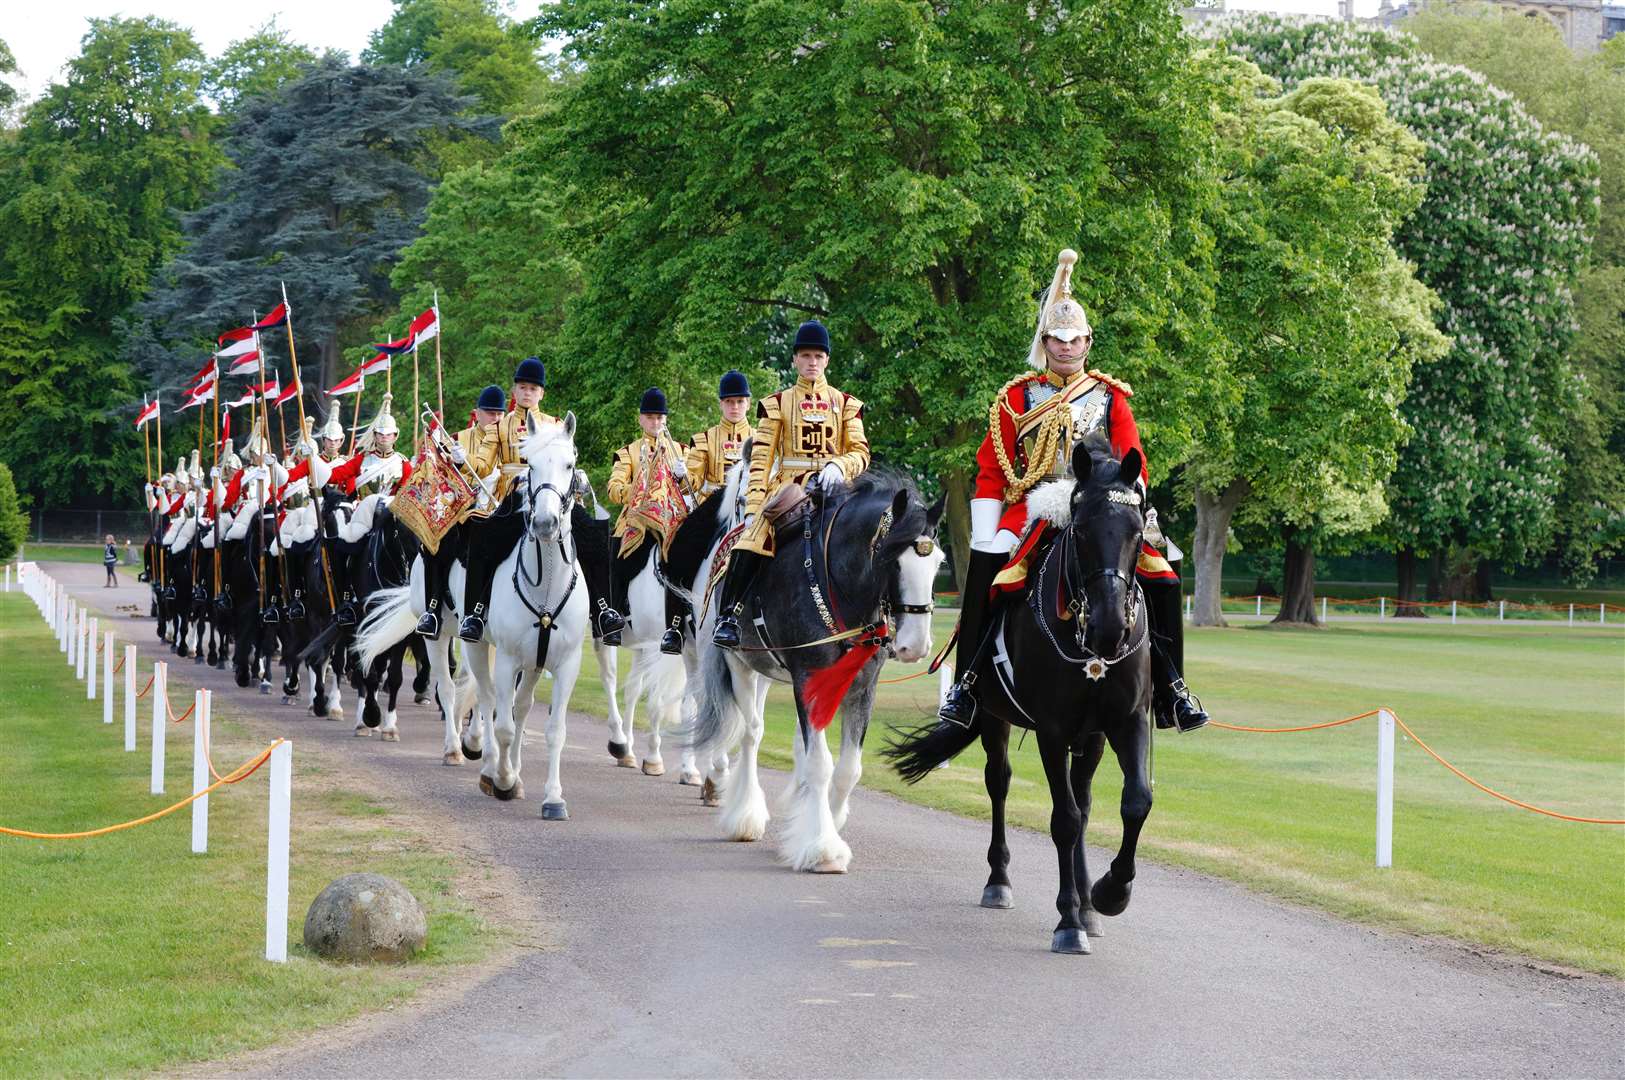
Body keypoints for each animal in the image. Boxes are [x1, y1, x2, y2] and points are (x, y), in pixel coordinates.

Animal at [890, 438, 1157, 954]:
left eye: (1138, 533)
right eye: (1082, 530)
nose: (1111, 629)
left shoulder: (1126, 720)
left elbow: (1134, 801)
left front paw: (1108, 894)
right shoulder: (1052, 730)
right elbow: (1063, 821)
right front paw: (1069, 921)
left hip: (1092, 737)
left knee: (1084, 801)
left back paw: (1090, 904)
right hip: (994, 717)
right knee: (1000, 782)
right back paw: (1000, 881)